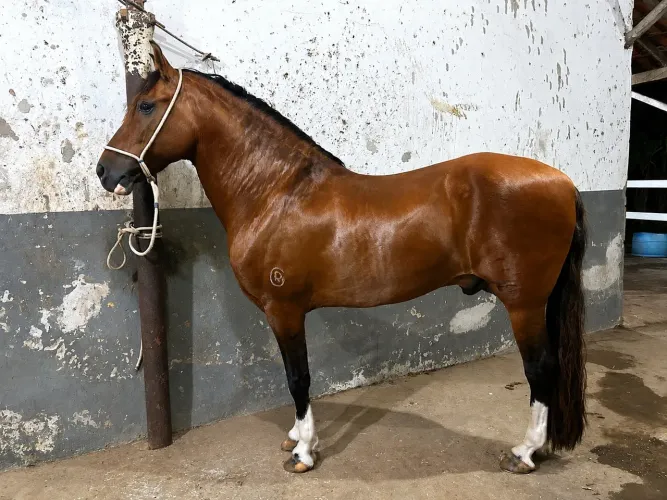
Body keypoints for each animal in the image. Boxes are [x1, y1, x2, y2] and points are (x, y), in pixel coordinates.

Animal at [96, 41, 587, 474]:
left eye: (146, 106)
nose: (106, 171)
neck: (276, 193)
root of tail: (563, 182)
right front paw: (297, 438)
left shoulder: (284, 310)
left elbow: (298, 378)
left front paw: (303, 452)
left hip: (524, 303)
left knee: (541, 369)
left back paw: (525, 452)